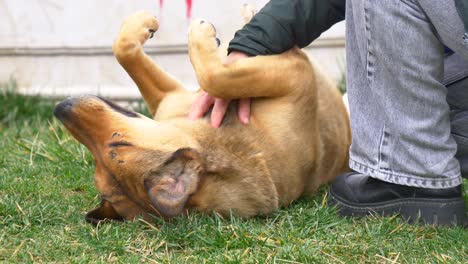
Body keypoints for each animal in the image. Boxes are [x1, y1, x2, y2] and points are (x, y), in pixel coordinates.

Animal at [53, 7, 350, 223]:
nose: (61, 107)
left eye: (118, 140)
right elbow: (215, 77)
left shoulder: (168, 97)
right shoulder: (296, 76)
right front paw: (202, 34)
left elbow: (124, 50)